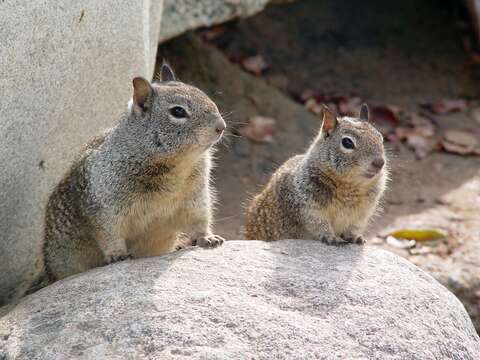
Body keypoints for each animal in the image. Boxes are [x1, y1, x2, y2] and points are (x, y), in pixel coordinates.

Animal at [41, 64, 227, 282]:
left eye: (203, 94)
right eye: (178, 111)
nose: (221, 127)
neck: (177, 165)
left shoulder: (196, 196)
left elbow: (199, 219)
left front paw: (208, 238)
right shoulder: (105, 206)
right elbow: (109, 233)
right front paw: (117, 254)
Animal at [246, 103, 388, 245]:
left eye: (380, 137)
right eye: (347, 142)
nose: (379, 163)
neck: (350, 186)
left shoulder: (362, 214)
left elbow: (354, 227)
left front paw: (354, 237)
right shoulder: (308, 207)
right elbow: (319, 224)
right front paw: (330, 236)